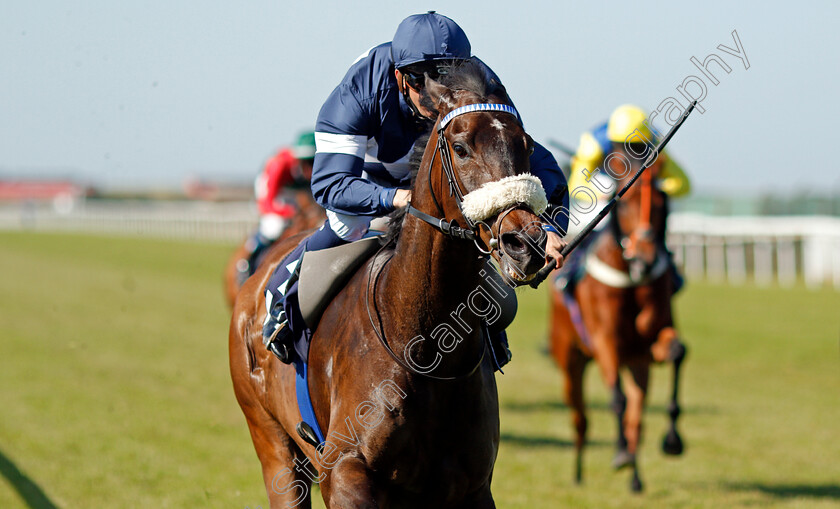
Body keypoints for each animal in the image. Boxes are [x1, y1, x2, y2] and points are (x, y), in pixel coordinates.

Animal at [228, 61, 552, 506]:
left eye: (528, 146)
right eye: (461, 147)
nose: (524, 243)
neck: (426, 345)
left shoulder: (471, 487)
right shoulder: (344, 473)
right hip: (273, 446)